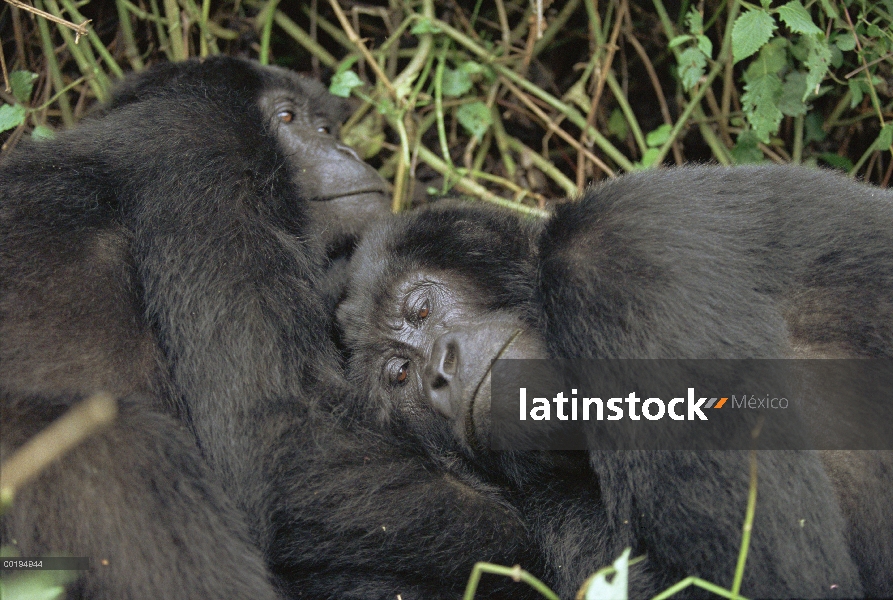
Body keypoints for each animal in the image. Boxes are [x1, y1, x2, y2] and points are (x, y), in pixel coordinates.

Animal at [1, 57, 536, 600]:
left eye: (325, 127)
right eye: (287, 118)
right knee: (125, 443)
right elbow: (279, 437)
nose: (345, 150)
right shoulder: (202, 144)